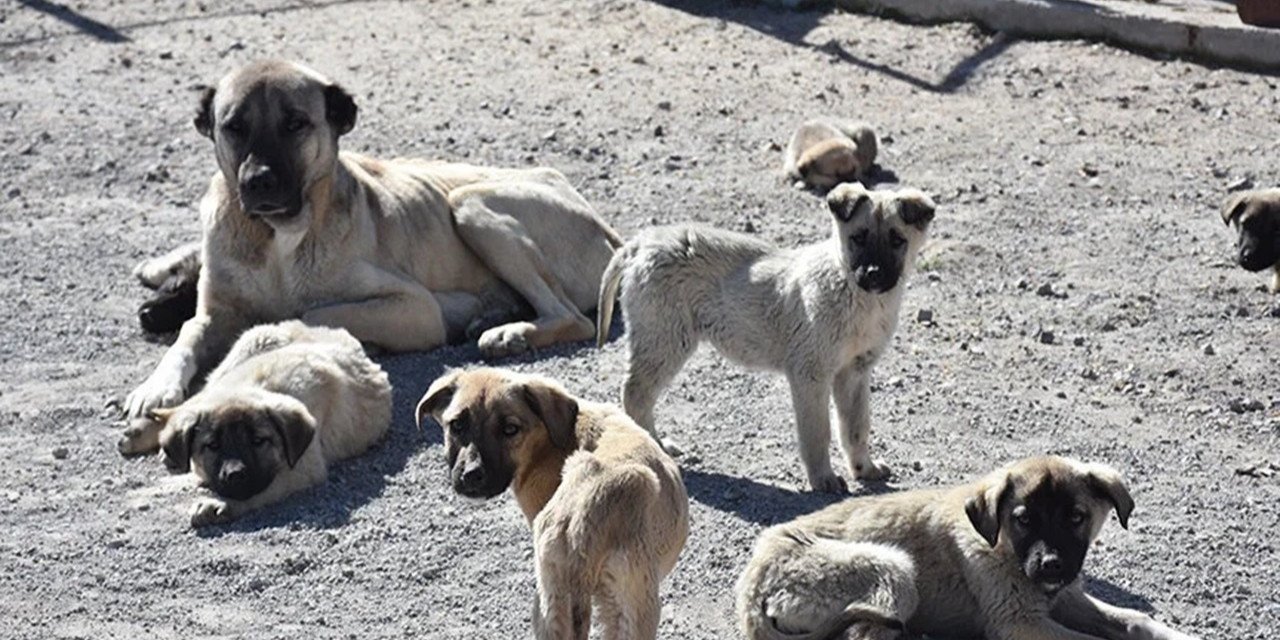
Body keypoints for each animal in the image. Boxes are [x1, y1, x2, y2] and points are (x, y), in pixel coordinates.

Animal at [120, 322, 389, 527]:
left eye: (259, 441)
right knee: (189, 401)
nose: (235, 474)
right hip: (247, 345)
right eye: (212, 445)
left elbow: (261, 489)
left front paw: (219, 504)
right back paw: (144, 431)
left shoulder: (304, 467)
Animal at [122, 60, 622, 430]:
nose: (258, 182)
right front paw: (155, 385)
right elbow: (186, 336)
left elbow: (310, 312)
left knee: (572, 317)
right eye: (234, 126)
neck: (277, 238)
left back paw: (511, 332)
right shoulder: (213, 313)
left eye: (295, 124)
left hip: (469, 204)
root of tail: (608, 228)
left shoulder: (415, 308)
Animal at [417, 368, 691, 640]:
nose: (471, 475)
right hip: (633, 608)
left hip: (554, 604)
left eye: (510, 429)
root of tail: (581, 523)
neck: (548, 442)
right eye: (457, 425)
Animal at [593, 183, 936, 491]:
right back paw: (654, 446)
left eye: (897, 240)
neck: (854, 293)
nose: (873, 274)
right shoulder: (810, 374)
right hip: (664, 340)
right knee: (635, 394)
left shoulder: (854, 372)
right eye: (859, 238)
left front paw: (864, 468)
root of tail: (641, 244)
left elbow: (856, 427)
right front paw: (823, 479)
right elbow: (818, 432)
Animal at [737, 455, 1203, 640]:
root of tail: (750, 589)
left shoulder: (1069, 599)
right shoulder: (1018, 622)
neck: (1005, 550)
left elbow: (1135, 620)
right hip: (893, 569)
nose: (1052, 566)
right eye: (1023, 519)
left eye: (1076, 517)